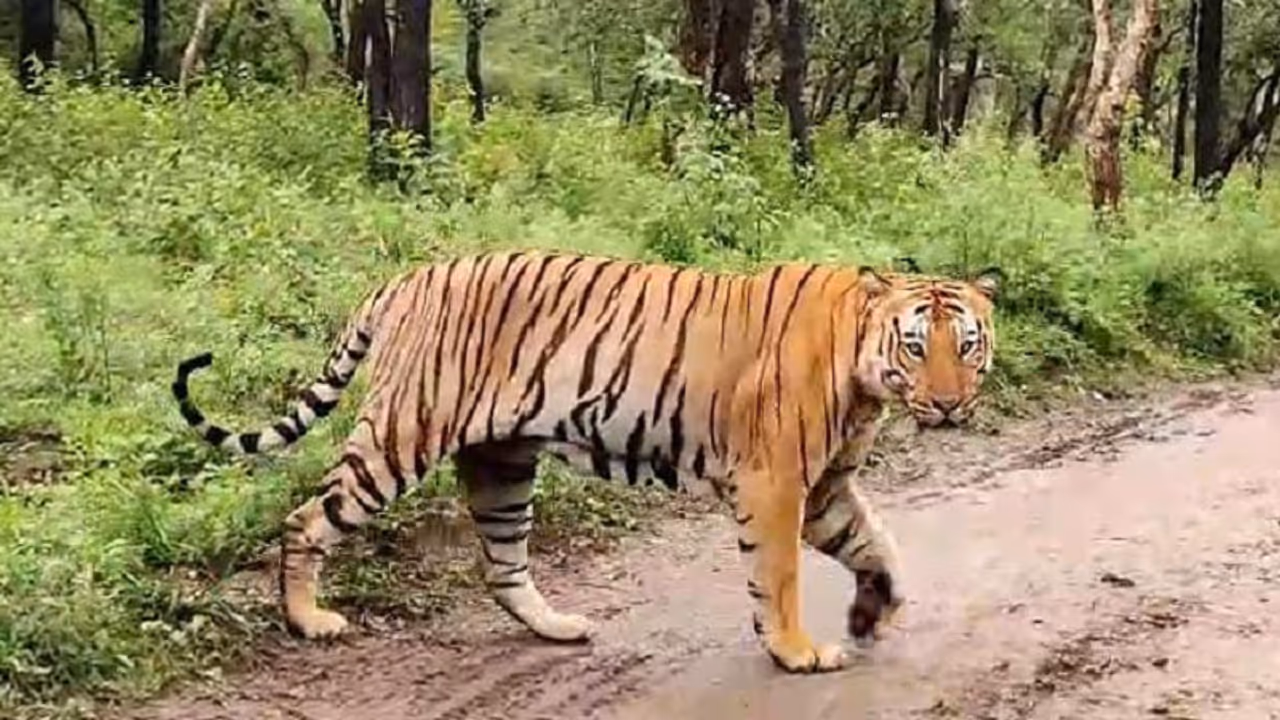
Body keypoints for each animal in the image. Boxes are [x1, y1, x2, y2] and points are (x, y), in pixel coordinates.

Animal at [171, 251, 999, 673]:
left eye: (968, 346)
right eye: (915, 346)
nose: (949, 405)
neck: (864, 379)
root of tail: (404, 279)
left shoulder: (824, 487)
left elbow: (877, 545)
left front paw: (873, 610)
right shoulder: (776, 482)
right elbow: (781, 576)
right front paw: (795, 651)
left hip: (501, 462)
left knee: (502, 564)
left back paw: (558, 628)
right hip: (401, 435)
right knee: (306, 518)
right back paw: (308, 620)